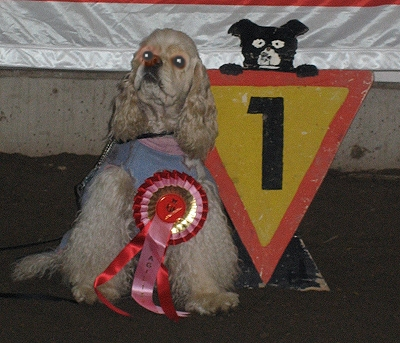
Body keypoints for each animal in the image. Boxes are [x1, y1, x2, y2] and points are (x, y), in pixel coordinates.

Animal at [12, 28, 239, 316]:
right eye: (147, 54)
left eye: (179, 61)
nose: (152, 64)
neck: (159, 136)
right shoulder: (111, 188)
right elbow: (102, 246)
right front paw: (95, 288)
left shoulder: (196, 197)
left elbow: (199, 258)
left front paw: (208, 295)